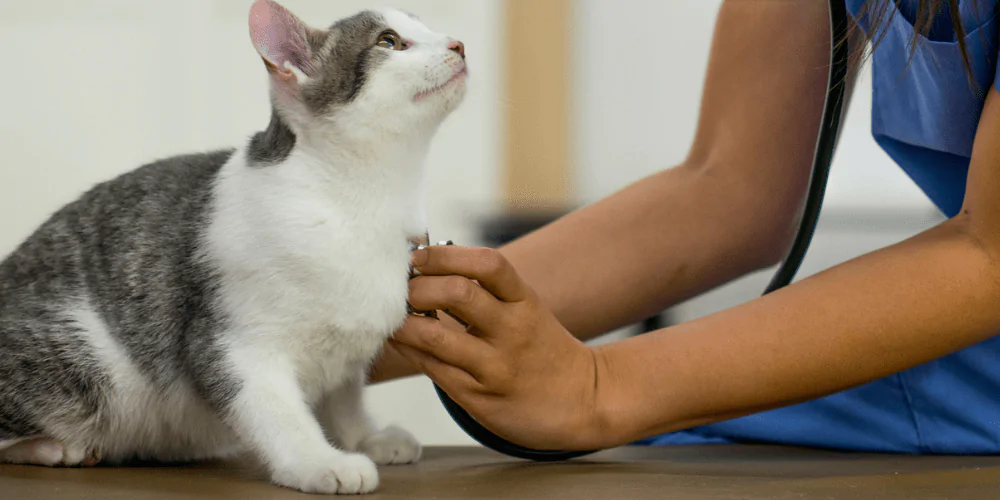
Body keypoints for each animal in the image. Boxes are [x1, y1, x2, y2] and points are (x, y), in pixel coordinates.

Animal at [0, 0, 466, 494]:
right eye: (389, 42)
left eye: (427, 27)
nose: (458, 43)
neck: (363, 202)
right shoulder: (234, 343)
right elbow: (278, 411)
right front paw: (318, 460)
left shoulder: (345, 351)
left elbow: (344, 398)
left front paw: (365, 437)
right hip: (85, 359)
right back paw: (51, 447)